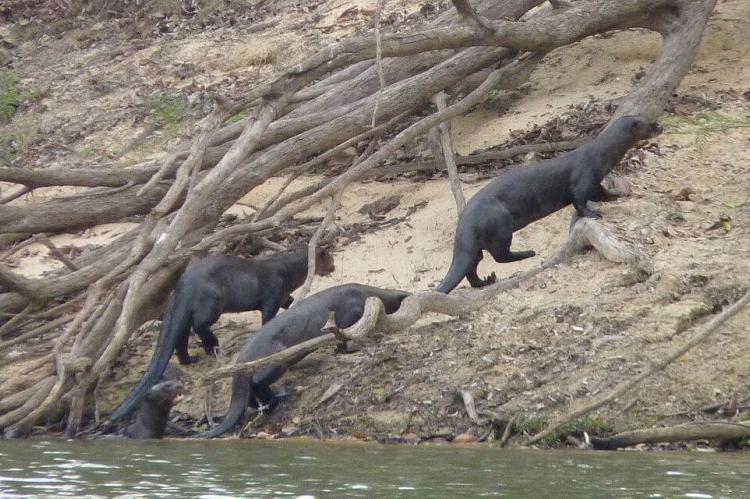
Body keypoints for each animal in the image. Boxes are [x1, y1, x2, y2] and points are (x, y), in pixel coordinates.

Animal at [111, 247, 335, 421]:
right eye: (331, 259)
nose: (333, 268)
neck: (288, 272)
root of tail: (184, 284)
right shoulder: (272, 294)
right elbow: (269, 316)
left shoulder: (282, 295)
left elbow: (288, 301)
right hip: (212, 301)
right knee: (199, 324)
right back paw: (213, 347)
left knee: (182, 334)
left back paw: (189, 359)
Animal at [198, 283, 409, 438]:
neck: (367, 293)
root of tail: (243, 357)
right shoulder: (352, 312)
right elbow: (341, 338)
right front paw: (352, 348)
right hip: (276, 357)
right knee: (258, 381)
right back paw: (280, 398)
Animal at [436, 116, 662, 294]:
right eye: (650, 124)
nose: (660, 126)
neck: (600, 157)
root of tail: (464, 225)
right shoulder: (583, 179)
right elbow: (581, 201)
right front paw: (594, 213)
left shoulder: (594, 182)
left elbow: (601, 194)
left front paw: (617, 195)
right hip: (499, 225)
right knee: (500, 256)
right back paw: (528, 253)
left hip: (477, 244)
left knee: (473, 265)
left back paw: (485, 282)